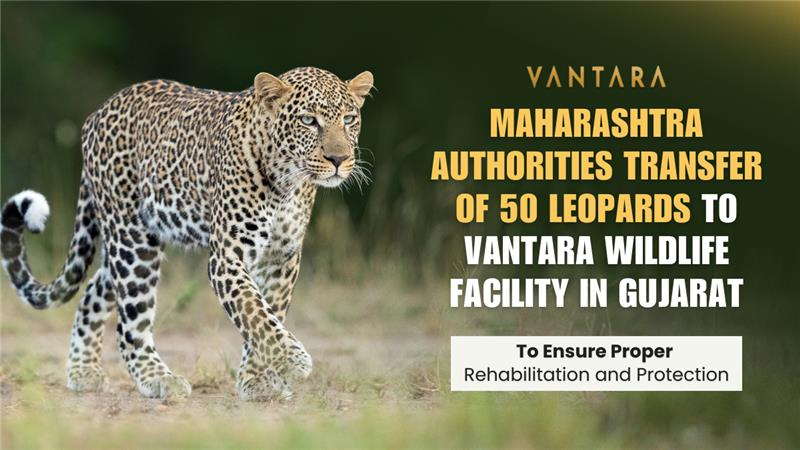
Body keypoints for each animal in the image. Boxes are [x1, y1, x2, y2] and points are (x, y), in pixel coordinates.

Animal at [0, 66, 374, 401]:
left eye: (349, 119)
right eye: (308, 120)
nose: (339, 158)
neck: (287, 183)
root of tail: (97, 113)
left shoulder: (282, 258)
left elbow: (269, 313)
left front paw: (257, 380)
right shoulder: (227, 255)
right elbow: (254, 311)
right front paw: (293, 361)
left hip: (131, 242)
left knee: (94, 291)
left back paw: (83, 372)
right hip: (133, 241)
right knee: (130, 323)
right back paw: (158, 379)